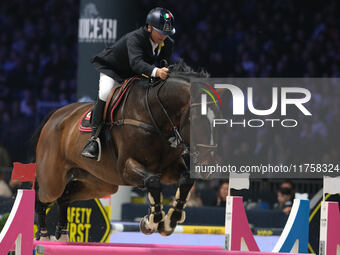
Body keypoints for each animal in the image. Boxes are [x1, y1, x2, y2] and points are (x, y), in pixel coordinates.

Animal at [34, 62, 215, 241]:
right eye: (196, 119)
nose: (208, 167)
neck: (156, 117)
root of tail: (55, 115)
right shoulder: (126, 167)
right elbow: (153, 182)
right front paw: (151, 222)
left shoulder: (168, 168)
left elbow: (186, 180)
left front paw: (170, 221)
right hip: (53, 180)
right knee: (43, 199)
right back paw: (43, 236)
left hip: (100, 183)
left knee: (65, 196)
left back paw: (63, 235)